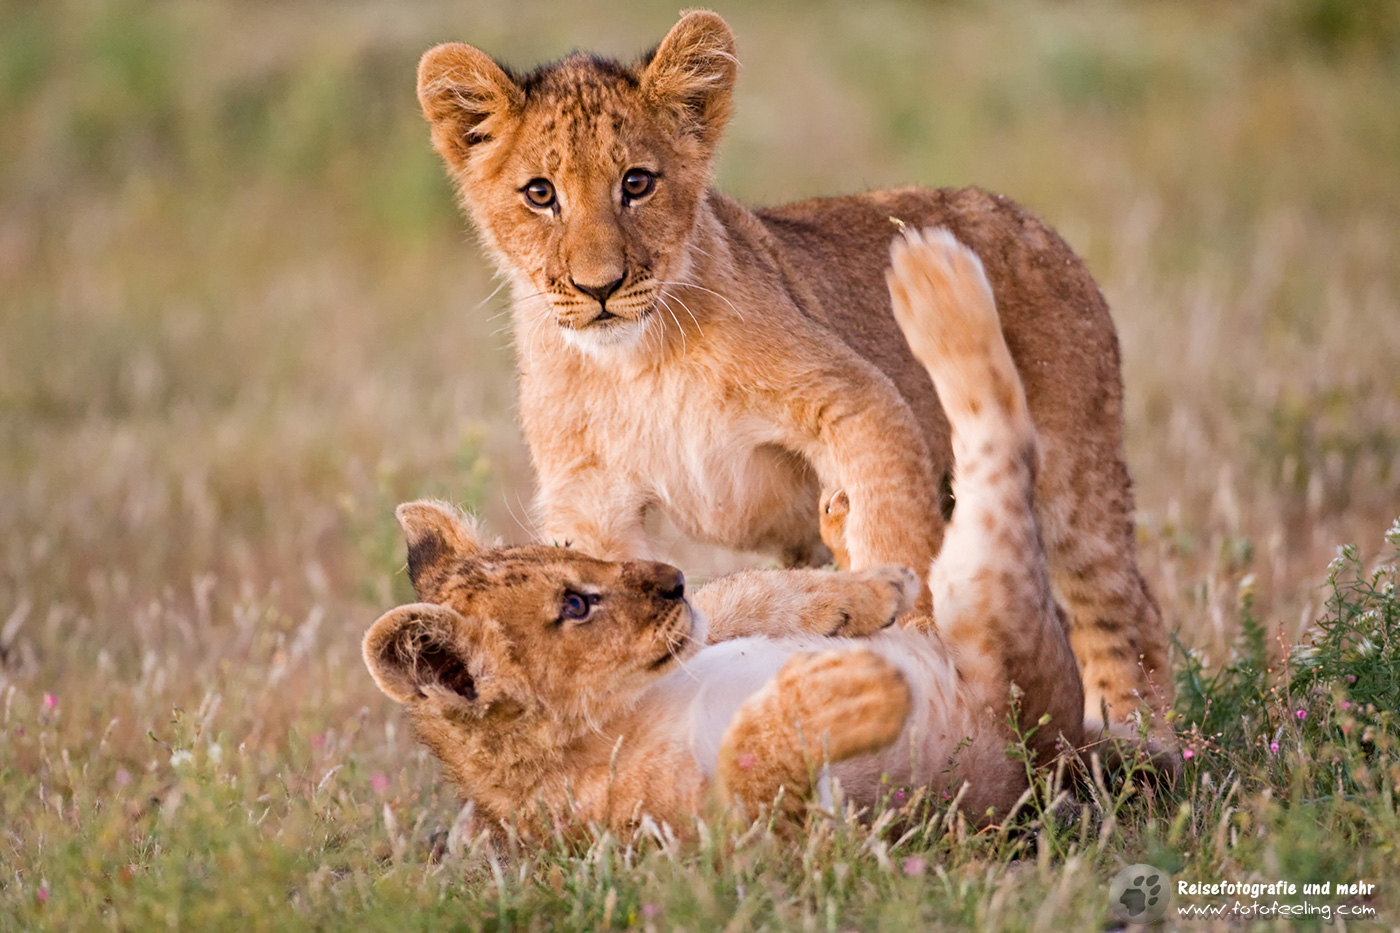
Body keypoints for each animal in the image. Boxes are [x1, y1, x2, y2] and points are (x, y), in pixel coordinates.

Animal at [363, 230, 1084, 838]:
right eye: (573, 606)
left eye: (577, 556)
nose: (672, 580)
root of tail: (1064, 749)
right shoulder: (735, 842)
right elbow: (756, 764)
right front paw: (852, 688)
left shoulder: (706, 627)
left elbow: (741, 597)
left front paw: (867, 589)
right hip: (1002, 628)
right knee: (999, 435)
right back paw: (934, 278)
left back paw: (846, 514)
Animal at [414, 11, 1171, 751]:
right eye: (540, 194)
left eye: (636, 183)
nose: (598, 288)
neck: (635, 360)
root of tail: (1034, 220)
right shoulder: (590, 498)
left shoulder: (856, 396)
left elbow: (897, 529)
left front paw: (918, 651)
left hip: (1075, 484)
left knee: (1128, 614)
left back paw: (1145, 739)